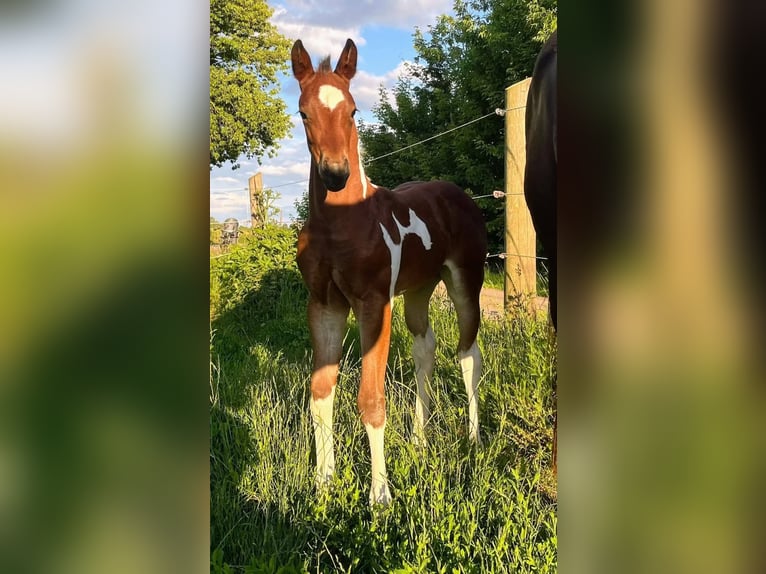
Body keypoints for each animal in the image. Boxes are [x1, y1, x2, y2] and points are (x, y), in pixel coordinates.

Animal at [292, 38, 488, 506]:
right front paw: (323, 482)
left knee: (468, 354)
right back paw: (419, 438)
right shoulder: (324, 305)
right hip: (419, 291)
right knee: (425, 349)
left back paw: (473, 439)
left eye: (352, 111)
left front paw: (379, 494)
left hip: (464, 283)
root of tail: (458, 193)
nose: (336, 174)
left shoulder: (374, 305)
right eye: (304, 113)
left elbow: (370, 399)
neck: (342, 224)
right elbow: (321, 394)